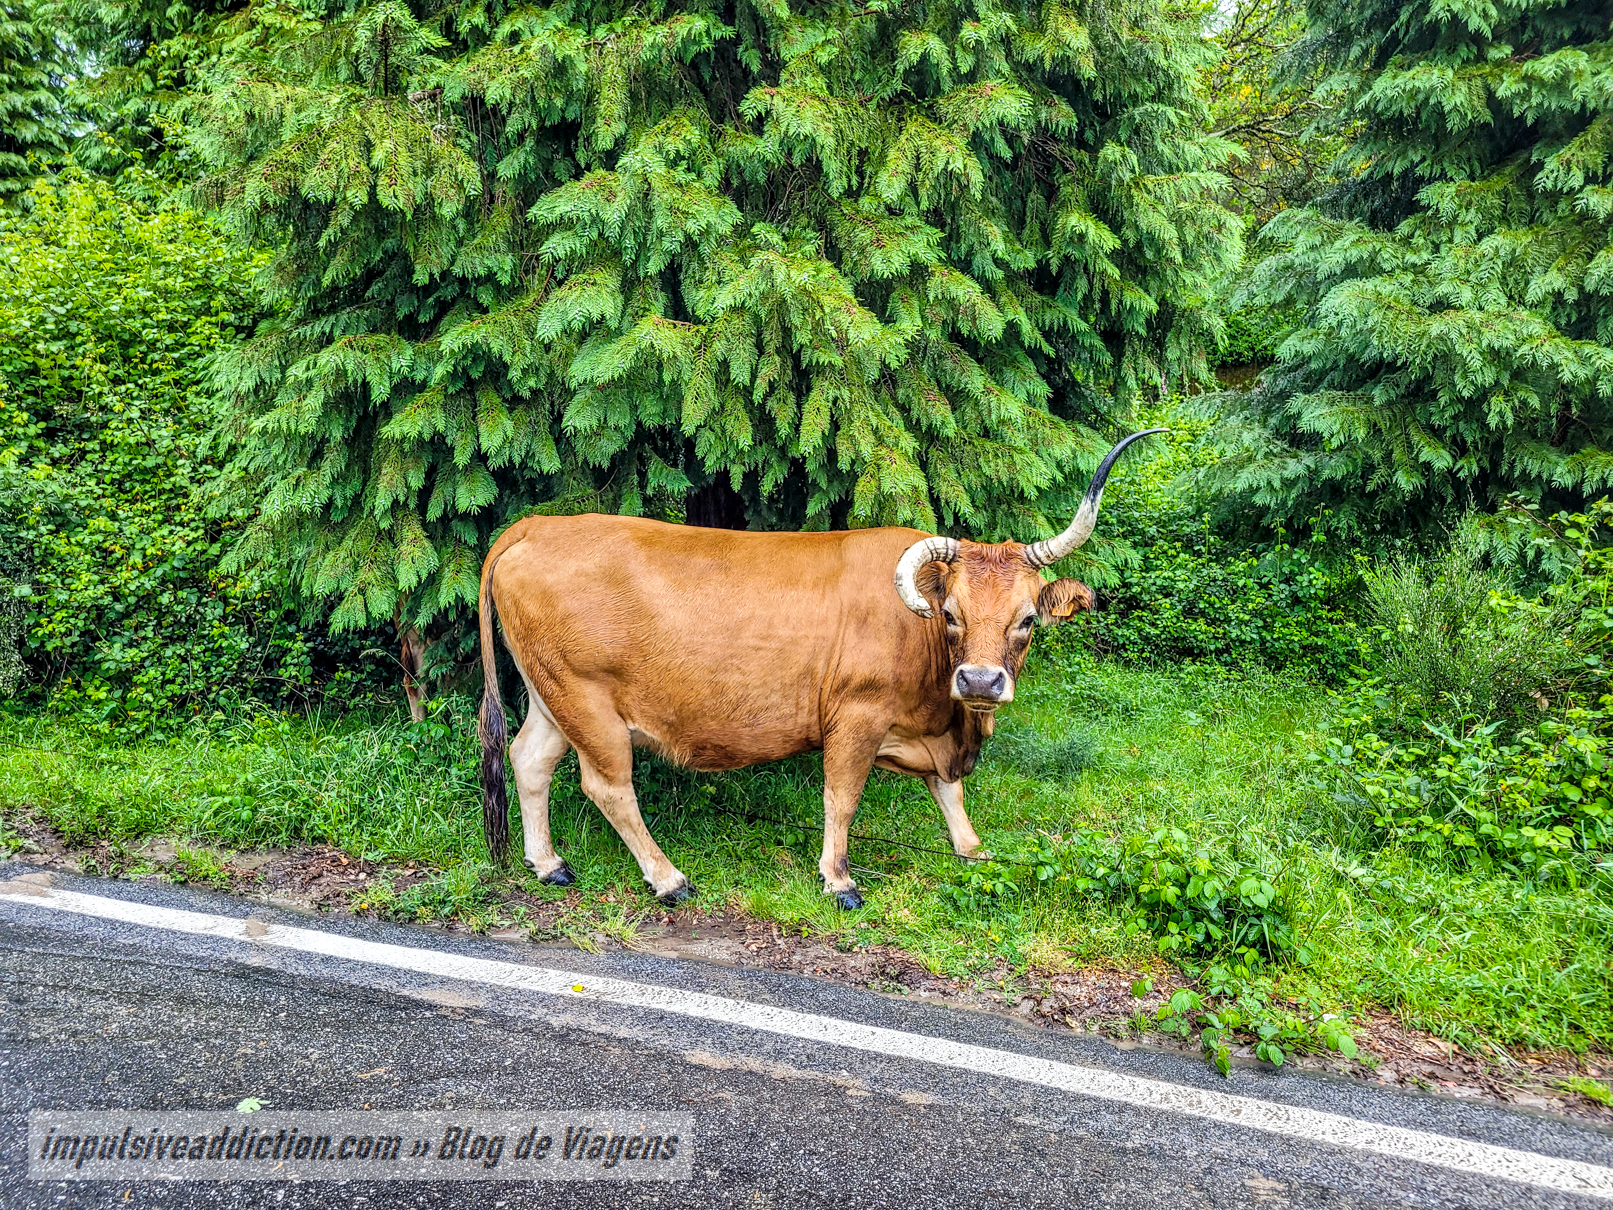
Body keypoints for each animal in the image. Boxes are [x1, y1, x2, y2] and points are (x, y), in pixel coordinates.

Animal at [477, 430, 1162, 908]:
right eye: (951, 614)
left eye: (1026, 619)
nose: (979, 681)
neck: (946, 721)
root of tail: (537, 525)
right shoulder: (857, 717)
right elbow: (842, 796)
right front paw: (838, 880)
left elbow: (948, 790)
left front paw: (972, 850)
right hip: (588, 701)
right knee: (609, 787)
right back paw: (669, 879)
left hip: (550, 695)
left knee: (529, 760)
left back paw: (548, 864)